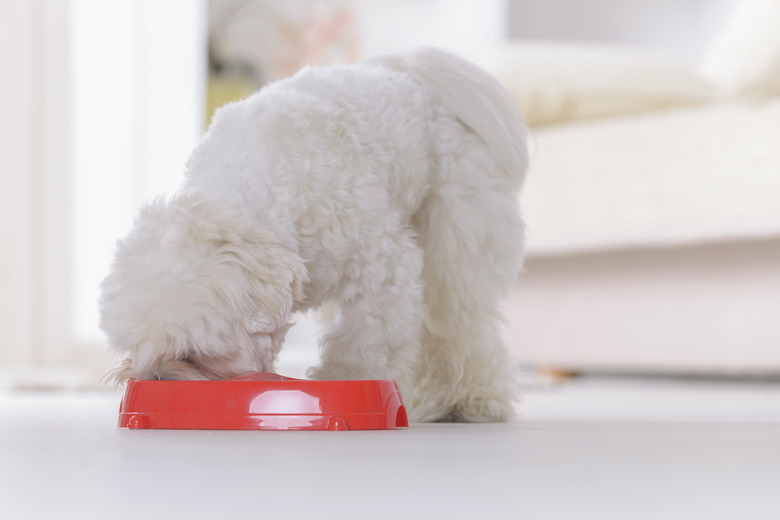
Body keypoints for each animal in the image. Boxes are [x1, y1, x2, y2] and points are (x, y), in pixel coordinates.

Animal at [96, 47, 524, 422]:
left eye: (194, 354)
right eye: (134, 348)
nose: (154, 379)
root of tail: (412, 70)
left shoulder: (383, 268)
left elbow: (367, 341)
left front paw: (347, 383)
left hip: (457, 231)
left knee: (459, 319)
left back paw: (467, 400)